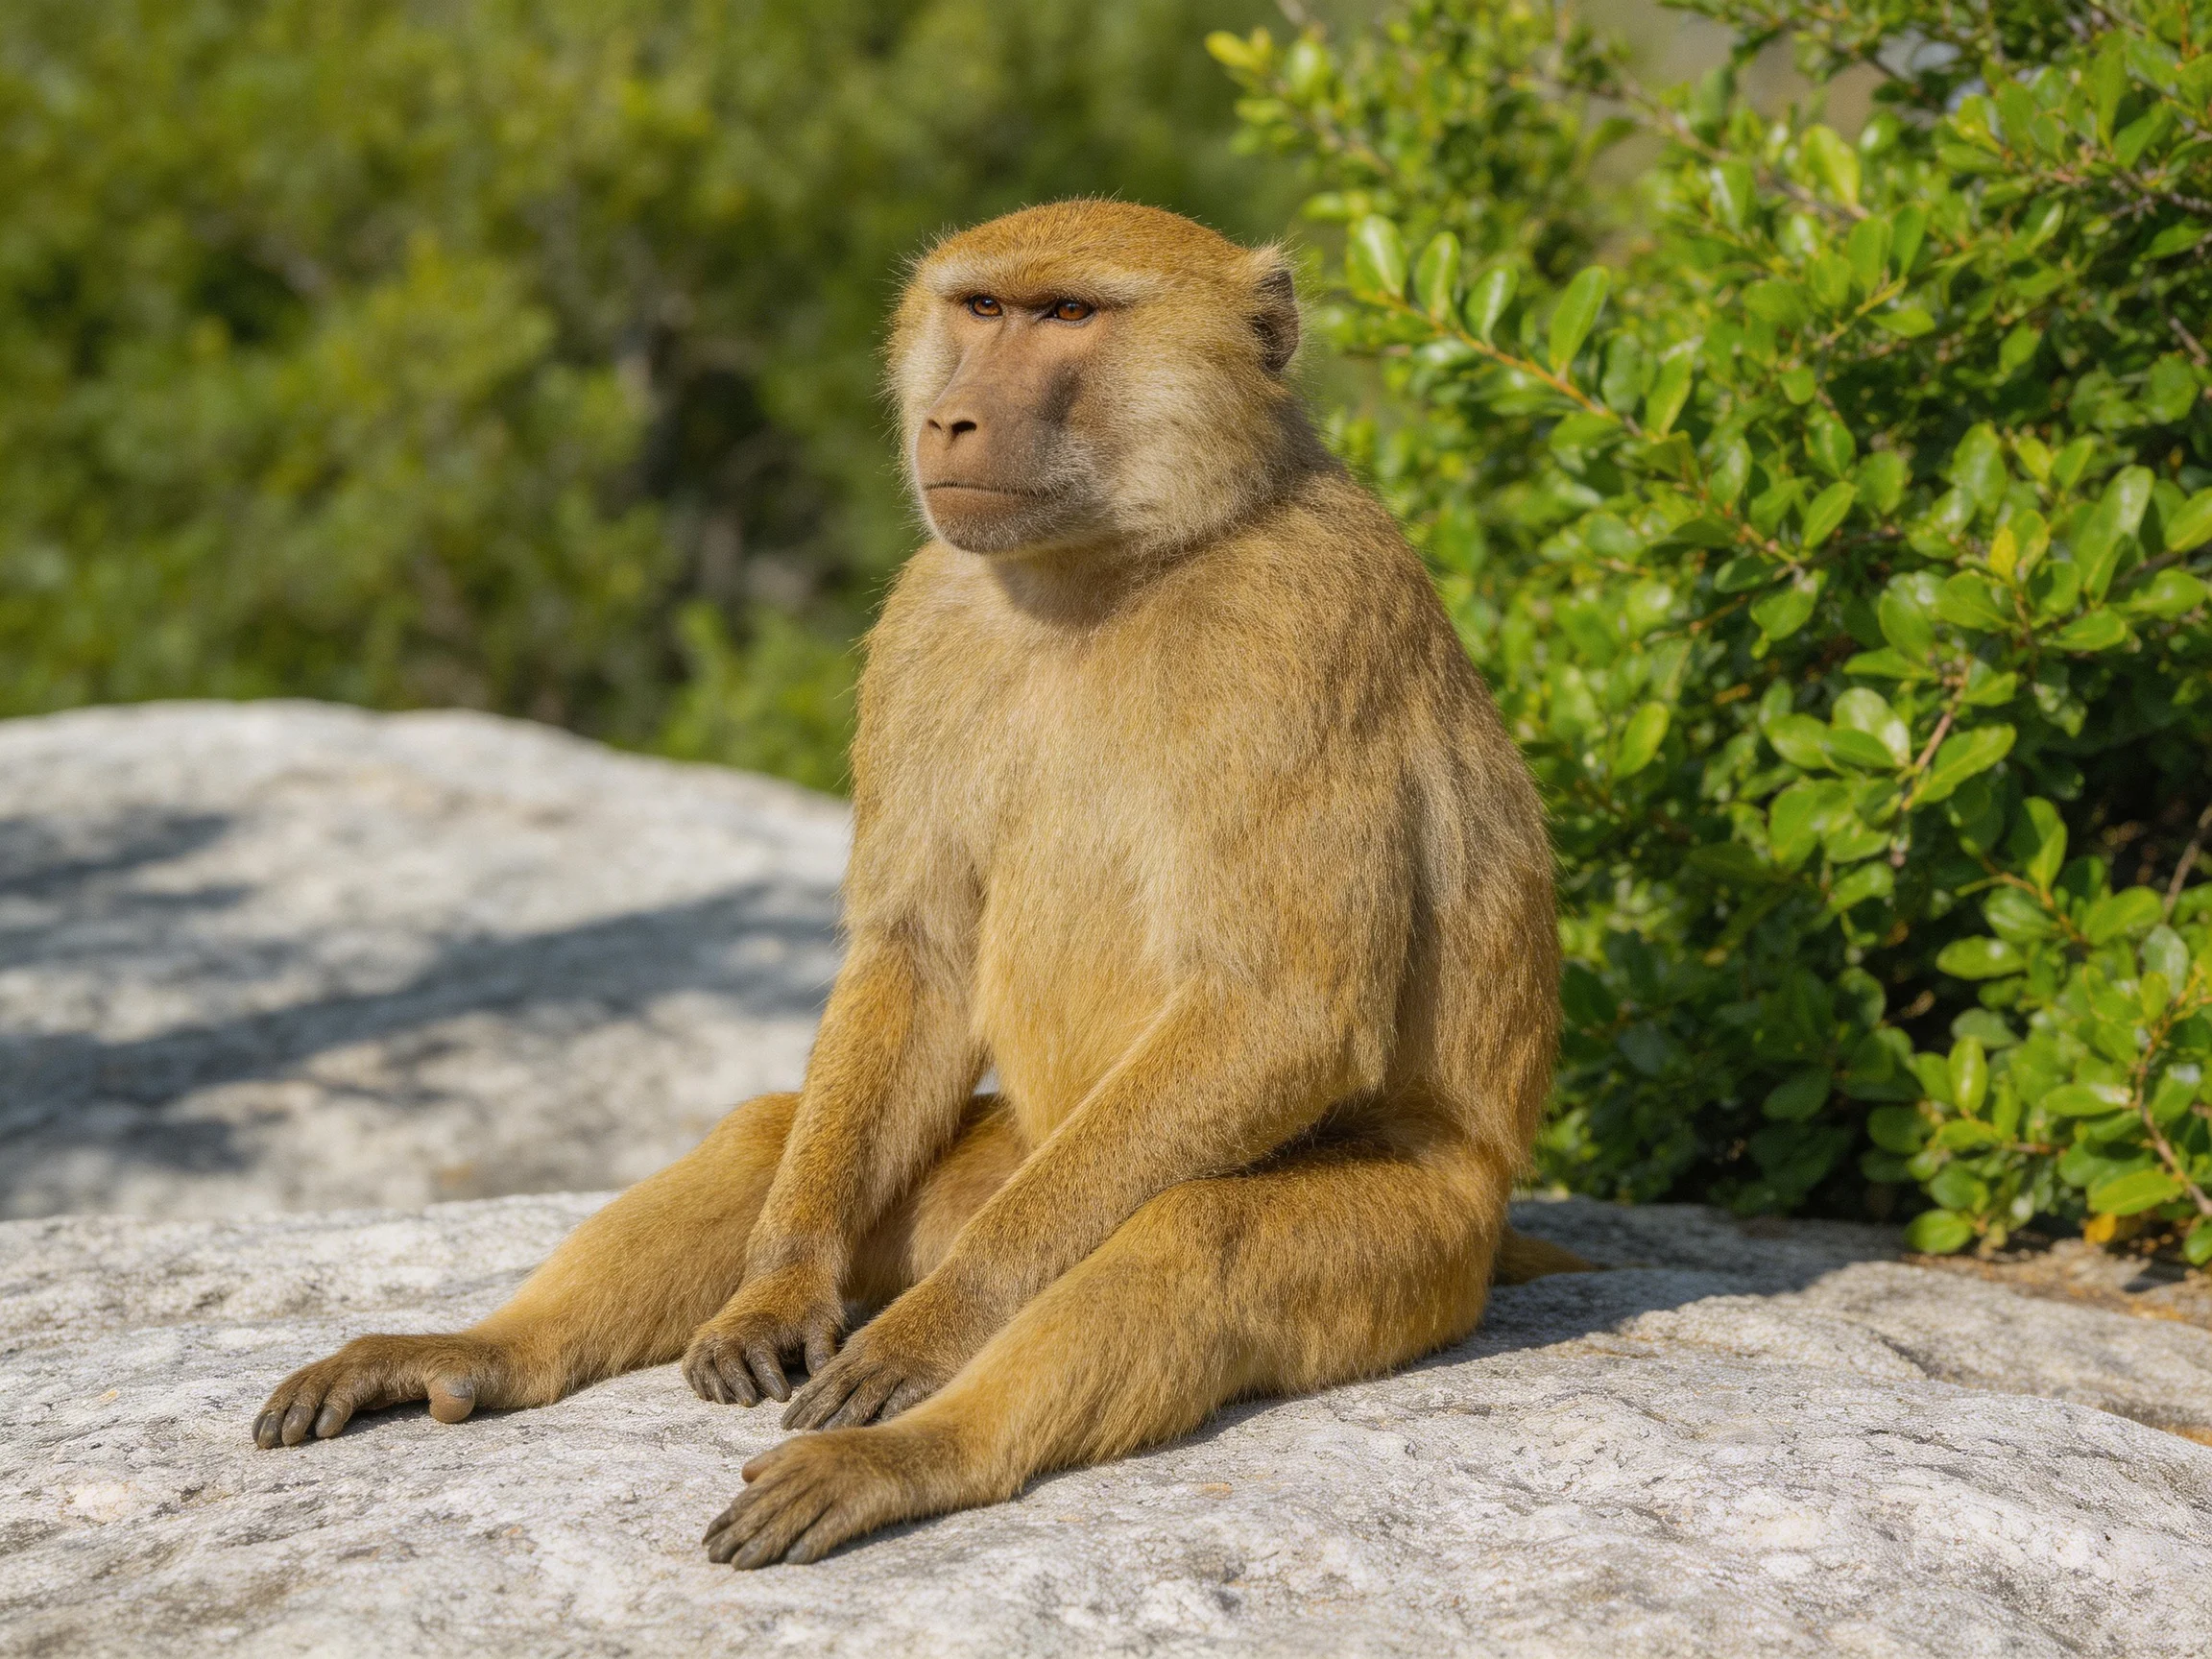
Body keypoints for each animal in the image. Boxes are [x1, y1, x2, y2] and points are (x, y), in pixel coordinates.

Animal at [251, 199, 1580, 1568]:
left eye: (1068, 315)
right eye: (981, 309)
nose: (953, 421)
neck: (1106, 566)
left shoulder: (1307, 627)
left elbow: (1280, 1008)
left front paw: (937, 1333)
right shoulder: (925, 618)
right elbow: (917, 948)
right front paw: (774, 1294)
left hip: (1417, 1245)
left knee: (1188, 1236)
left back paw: (911, 1454)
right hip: (1005, 1157)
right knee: (769, 1134)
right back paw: (480, 1353)